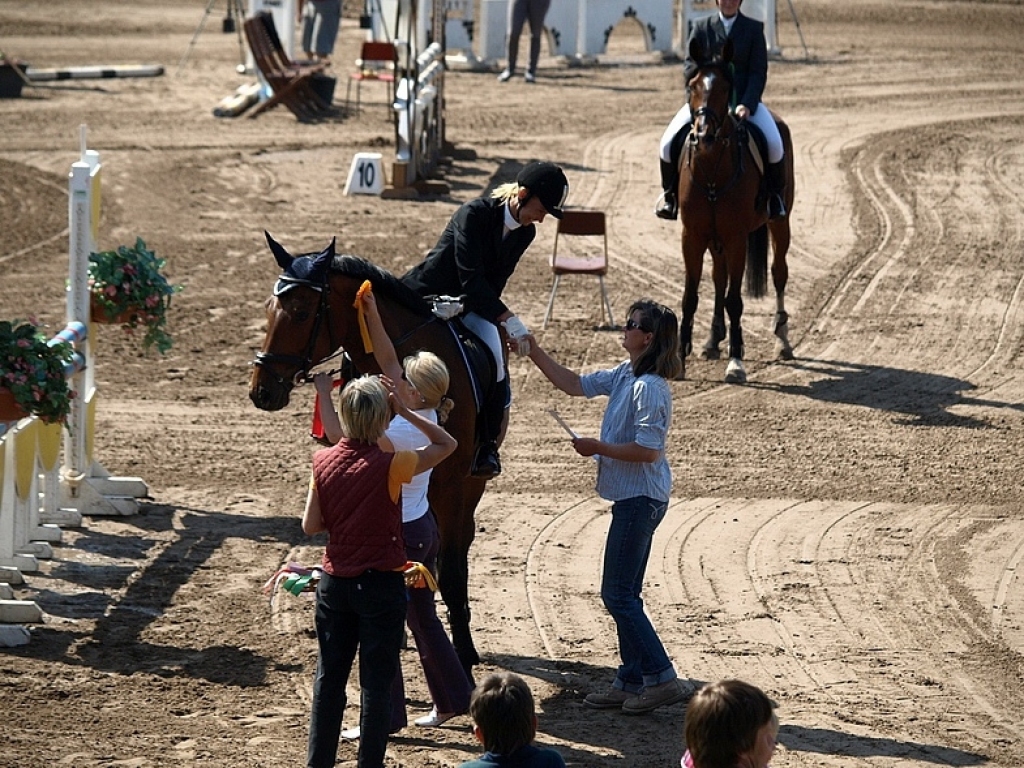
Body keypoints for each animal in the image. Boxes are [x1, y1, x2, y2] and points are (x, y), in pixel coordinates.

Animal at [246, 231, 487, 675]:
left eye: (302, 313)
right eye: (269, 309)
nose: (261, 391)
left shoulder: (453, 484)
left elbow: (452, 567)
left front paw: (463, 652)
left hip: (470, 485)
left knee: (455, 547)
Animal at [675, 36, 794, 385]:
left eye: (726, 88)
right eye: (693, 86)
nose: (703, 135)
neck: (712, 172)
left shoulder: (736, 237)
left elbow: (735, 300)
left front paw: (736, 362)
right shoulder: (693, 236)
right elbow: (691, 296)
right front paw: (679, 360)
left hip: (779, 222)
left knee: (778, 272)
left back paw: (782, 340)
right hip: (716, 241)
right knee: (718, 277)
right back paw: (712, 341)